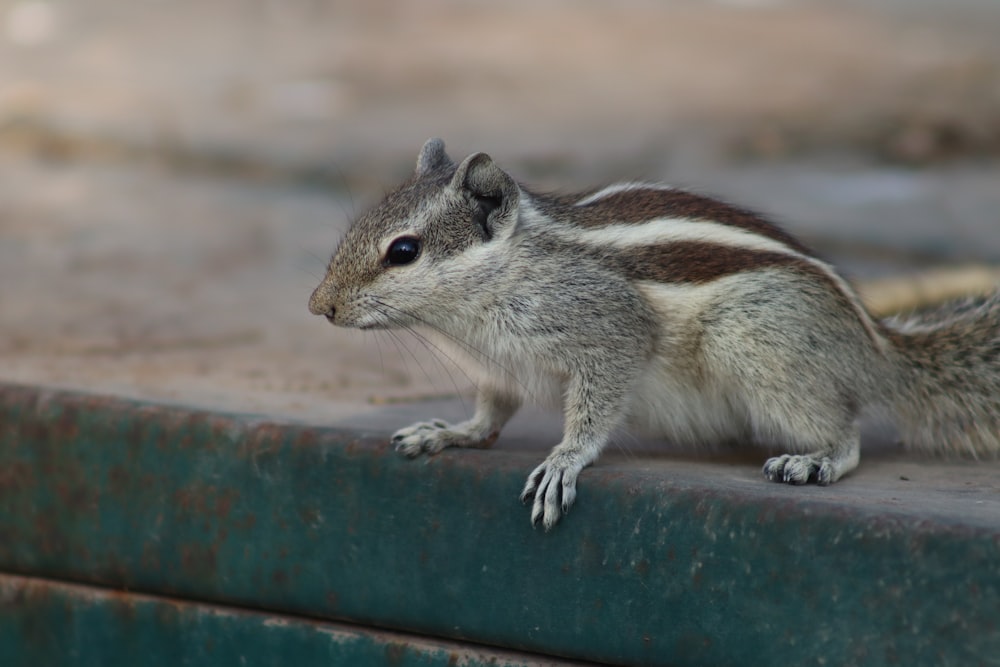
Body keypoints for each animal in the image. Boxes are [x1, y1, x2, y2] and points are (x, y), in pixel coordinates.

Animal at [308, 140, 1000, 532]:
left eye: (403, 252)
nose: (320, 306)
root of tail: (875, 346)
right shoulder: (499, 367)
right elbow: (491, 413)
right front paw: (451, 432)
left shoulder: (608, 331)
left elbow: (596, 405)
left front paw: (565, 460)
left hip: (757, 344)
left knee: (847, 431)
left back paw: (816, 458)